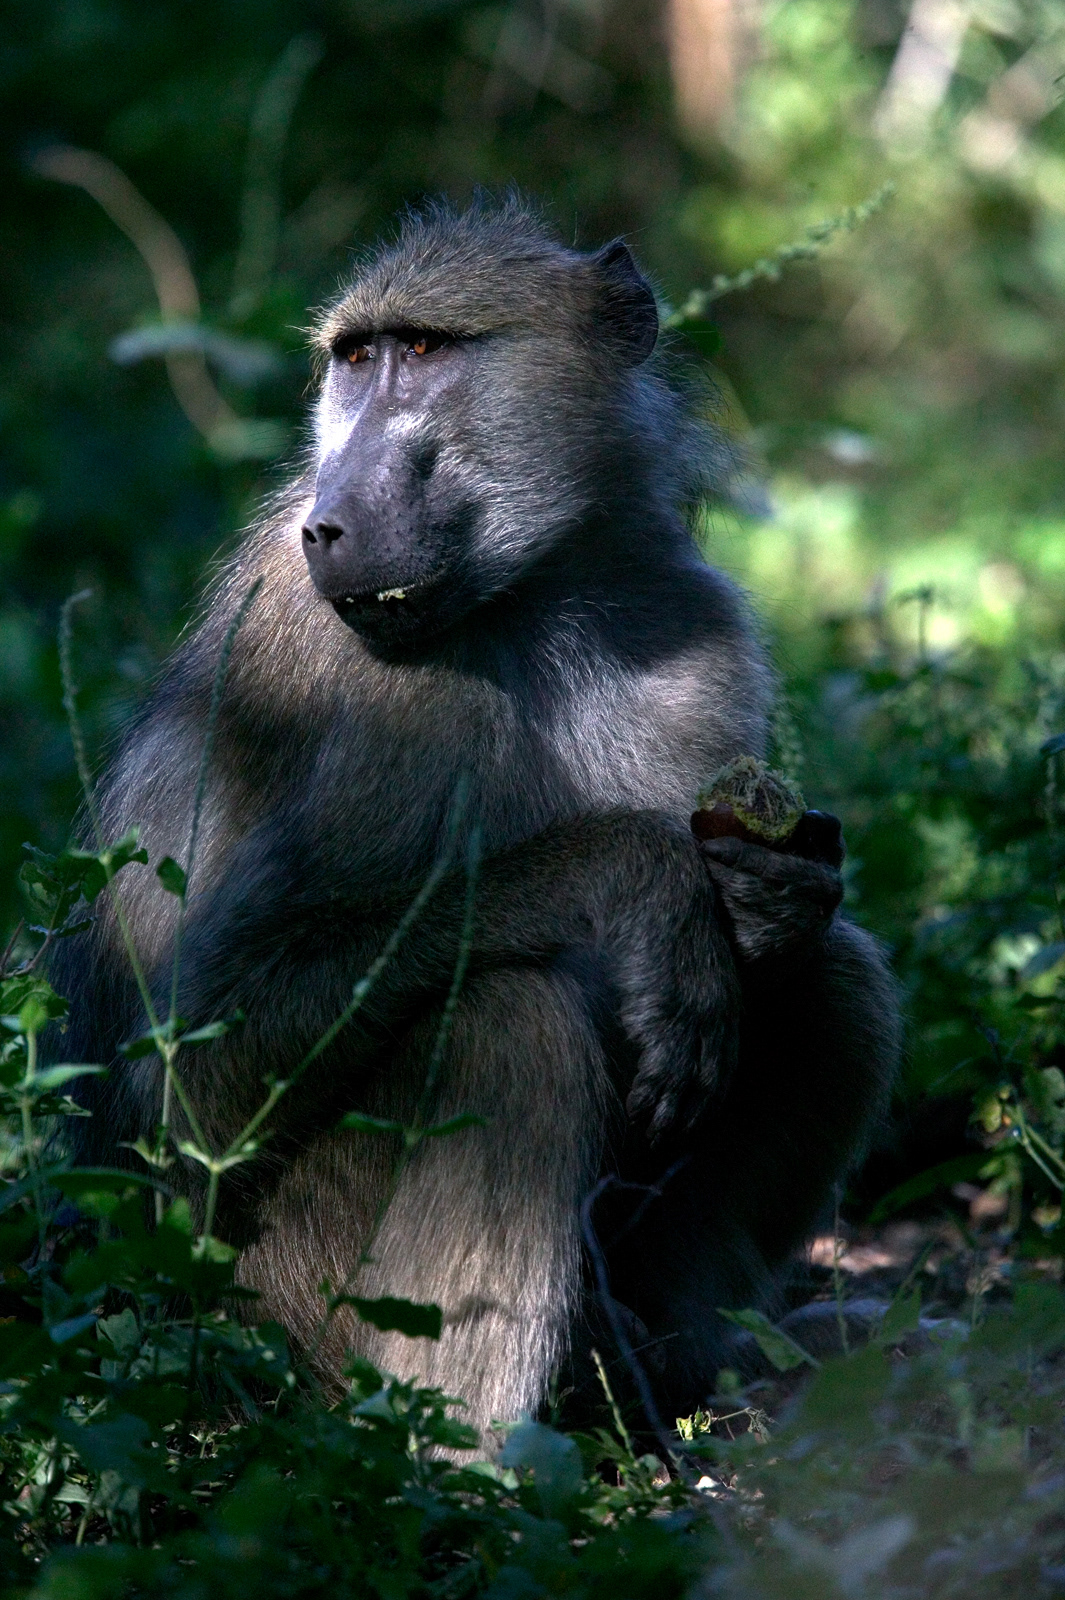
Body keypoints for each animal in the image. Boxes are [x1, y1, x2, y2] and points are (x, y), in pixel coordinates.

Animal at [56, 198, 900, 1438]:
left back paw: (695, 1363)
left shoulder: (701, 629)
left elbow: (780, 924)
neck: (540, 597)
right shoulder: (360, 688)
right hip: (282, 1297)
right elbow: (202, 1068)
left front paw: (771, 893)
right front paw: (643, 882)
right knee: (508, 1019)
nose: (331, 524)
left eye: (421, 351)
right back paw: (447, 1457)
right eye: (352, 362)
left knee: (834, 976)